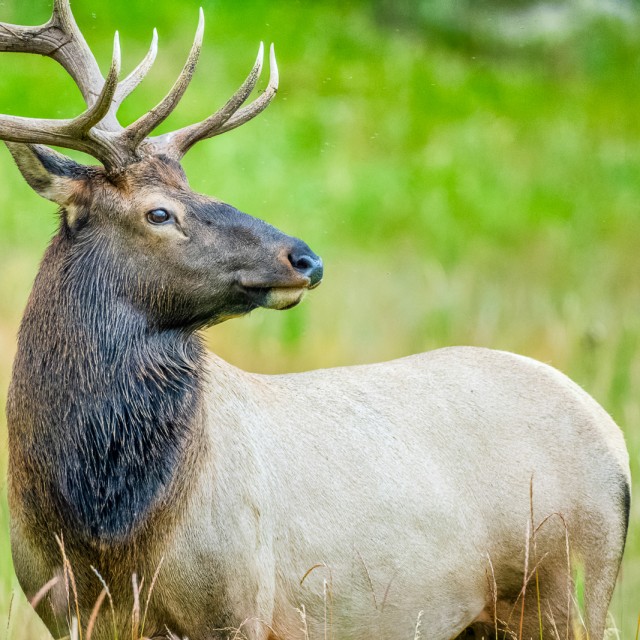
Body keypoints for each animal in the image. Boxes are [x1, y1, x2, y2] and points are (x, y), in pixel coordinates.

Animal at [1, 2, 630, 640]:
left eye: (193, 186)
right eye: (160, 212)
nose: (305, 258)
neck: (102, 529)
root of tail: (616, 439)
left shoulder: (238, 601)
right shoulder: (57, 605)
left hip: (569, 587)